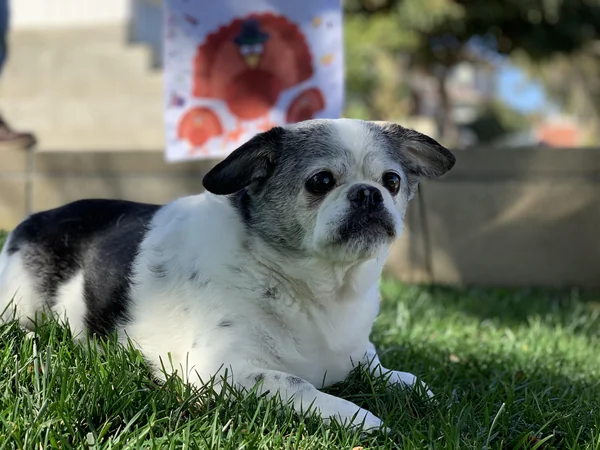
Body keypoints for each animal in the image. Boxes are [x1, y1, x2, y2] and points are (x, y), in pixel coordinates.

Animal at [0, 119, 455, 430]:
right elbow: (301, 385)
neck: (319, 288)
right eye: (321, 181)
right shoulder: (223, 370)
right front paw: (363, 419)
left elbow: (401, 376)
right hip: (24, 305)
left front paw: (423, 391)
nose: (369, 193)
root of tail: (31, 220)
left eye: (392, 181)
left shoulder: (358, 356)